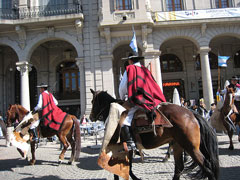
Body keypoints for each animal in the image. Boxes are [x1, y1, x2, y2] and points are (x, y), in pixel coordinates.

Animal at [89, 89, 218, 180]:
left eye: (92, 102)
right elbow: (125, 169)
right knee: (179, 168)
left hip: (191, 147)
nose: (90, 117)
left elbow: (126, 169)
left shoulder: (125, 148)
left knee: (206, 166)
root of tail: (191, 113)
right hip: (178, 145)